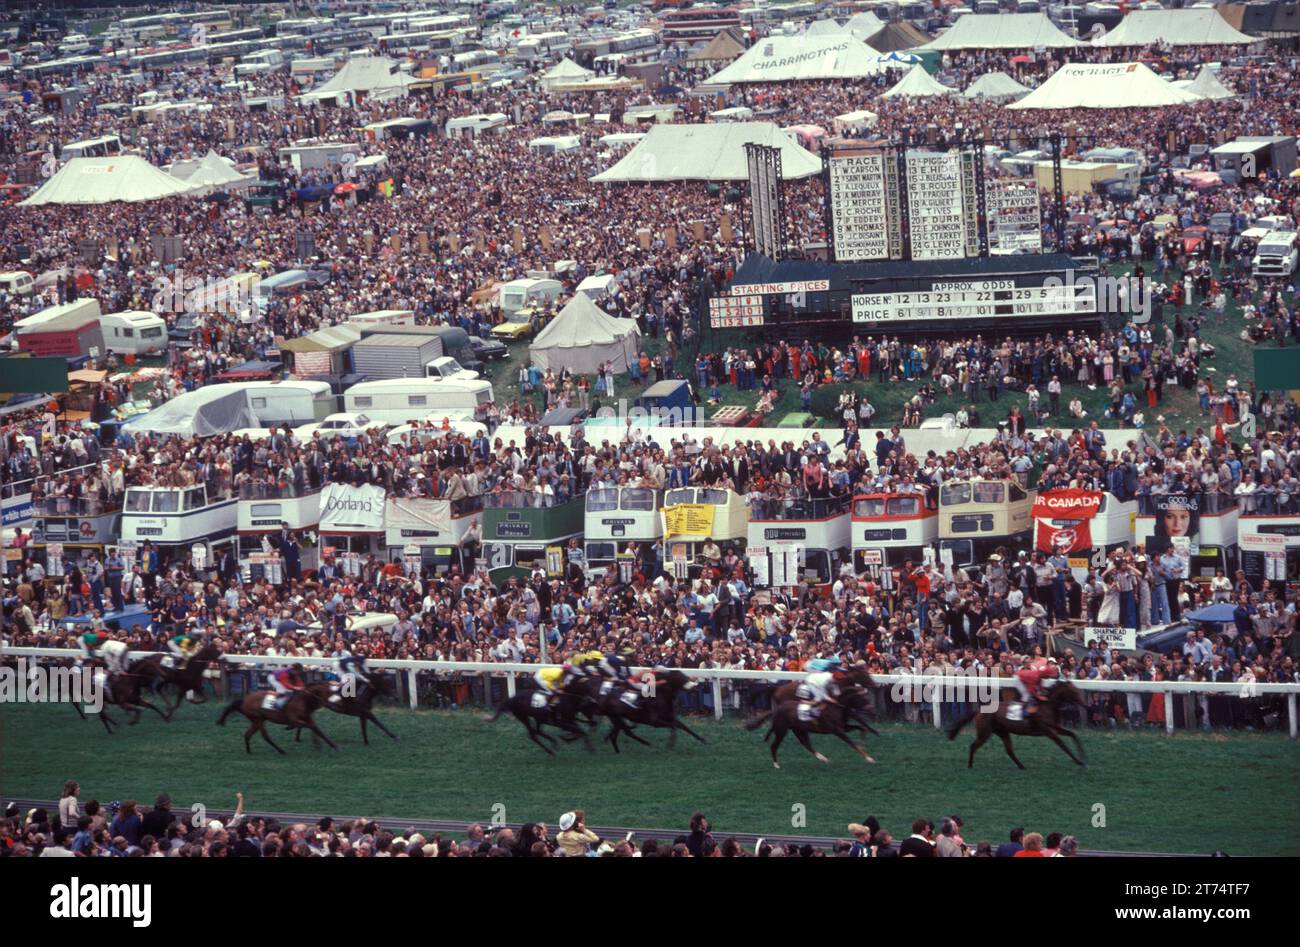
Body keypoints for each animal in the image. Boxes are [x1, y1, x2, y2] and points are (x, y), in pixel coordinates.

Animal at [748, 686, 878, 770]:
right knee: (774, 746)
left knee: (806, 744)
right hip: (781, 730)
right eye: (863, 698)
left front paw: (864, 744)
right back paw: (776, 765)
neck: (836, 708)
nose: (872, 709)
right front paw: (869, 758)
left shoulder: (843, 727)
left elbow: (862, 728)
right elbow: (852, 743)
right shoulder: (837, 731)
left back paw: (823, 759)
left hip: (799, 730)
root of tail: (777, 710)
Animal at [946, 681, 1086, 770]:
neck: (1048, 706)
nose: (1084, 704)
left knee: (1009, 750)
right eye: (1074, 692)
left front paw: (1083, 758)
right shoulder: (1048, 731)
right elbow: (1063, 745)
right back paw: (970, 765)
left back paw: (1022, 766)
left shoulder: (1054, 727)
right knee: (973, 746)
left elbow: (1072, 734)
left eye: (1078, 690)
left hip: (1002, 732)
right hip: (985, 732)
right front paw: (1078, 761)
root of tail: (980, 710)